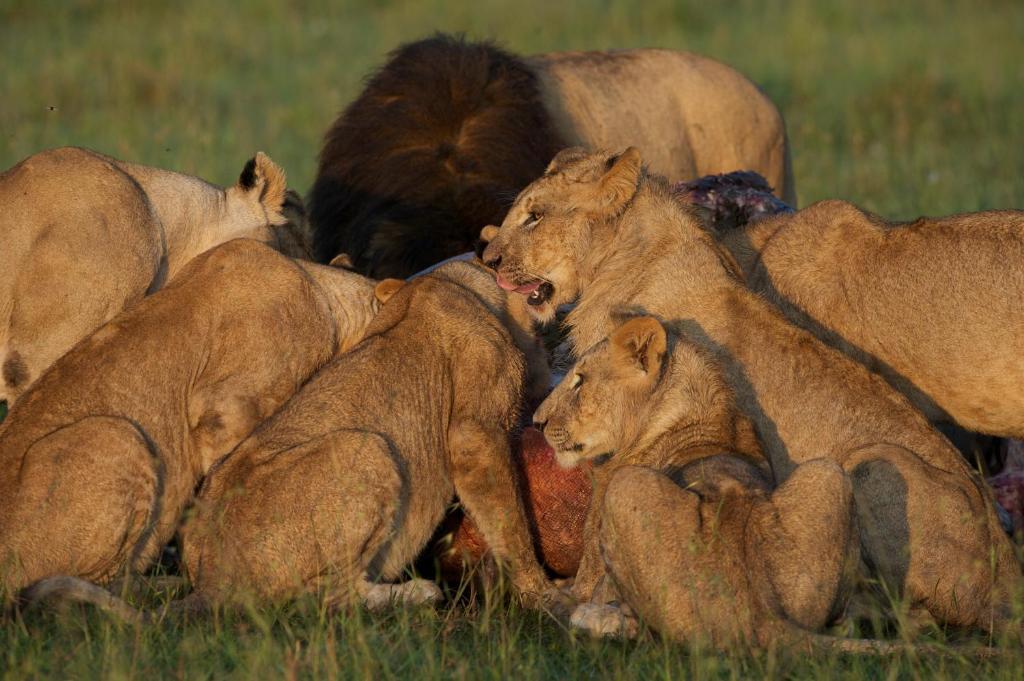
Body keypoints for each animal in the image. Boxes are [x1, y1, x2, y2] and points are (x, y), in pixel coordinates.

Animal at [540, 315, 860, 647]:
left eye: (580, 380)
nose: (537, 422)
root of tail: (762, 611)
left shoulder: (593, 552)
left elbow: (572, 592)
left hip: (626, 487)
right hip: (830, 472)